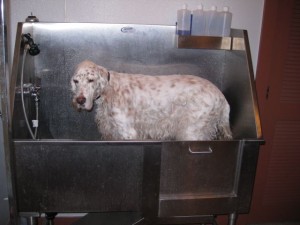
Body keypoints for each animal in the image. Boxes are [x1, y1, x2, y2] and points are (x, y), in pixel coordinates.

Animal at [71, 60, 233, 141]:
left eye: (91, 80)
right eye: (76, 81)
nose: (80, 100)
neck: (110, 89)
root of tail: (221, 97)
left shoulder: (127, 132)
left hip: (191, 131)